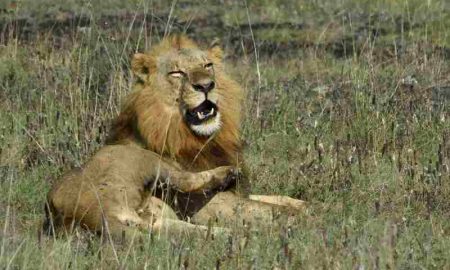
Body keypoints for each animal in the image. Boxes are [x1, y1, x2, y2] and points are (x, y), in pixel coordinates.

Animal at [44, 34, 306, 239]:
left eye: (207, 65)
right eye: (178, 72)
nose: (206, 86)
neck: (201, 139)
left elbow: (284, 199)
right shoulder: (208, 205)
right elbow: (277, 210)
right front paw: (307, 218)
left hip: (154, 219)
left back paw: (233, 235)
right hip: (142, 160)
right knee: (186, 180)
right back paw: (226, 177)